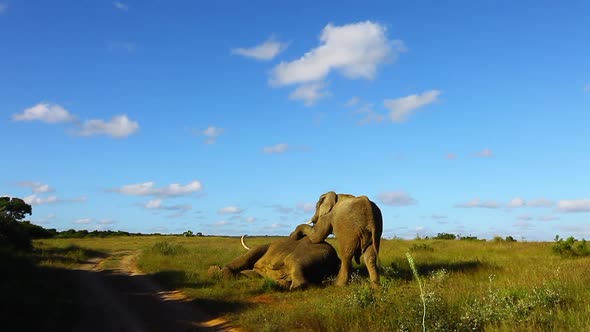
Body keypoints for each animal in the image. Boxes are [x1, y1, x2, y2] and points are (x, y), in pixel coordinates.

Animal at [210, 235, 342, 290]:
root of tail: (335, 259)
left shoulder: (261, 249)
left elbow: (247, 257)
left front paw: (216, 271)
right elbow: (252, 273)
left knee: (294, 263)